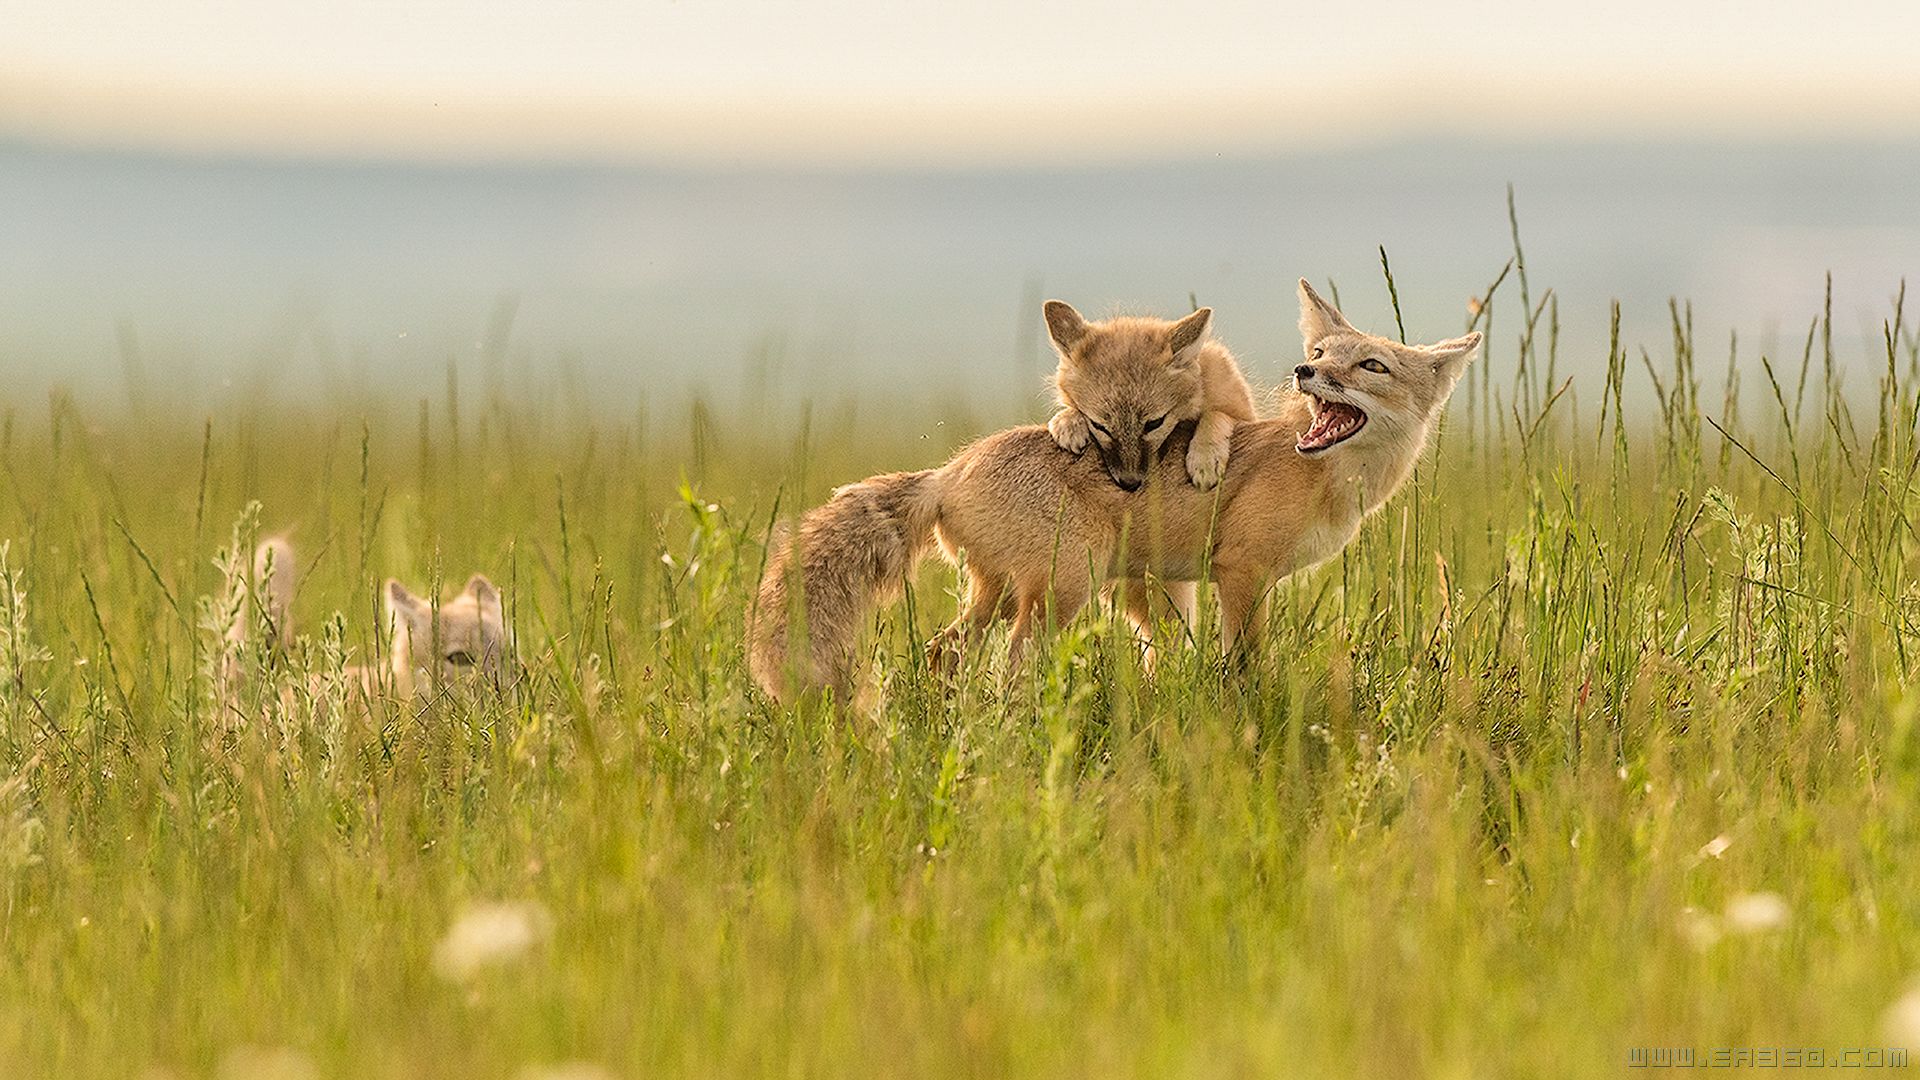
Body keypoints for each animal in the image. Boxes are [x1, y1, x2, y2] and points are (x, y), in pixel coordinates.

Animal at [741, 276, 1474, 703]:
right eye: (1322, 357)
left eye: (1372, 365)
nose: (1303, 371)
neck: (1327, 481)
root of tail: (951, 469)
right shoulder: (1241, 574)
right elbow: (1243, 668)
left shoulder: (1187, 584)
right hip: (1066, 588)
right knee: (1010, 668)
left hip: (1003, 596)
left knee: (941, 651)